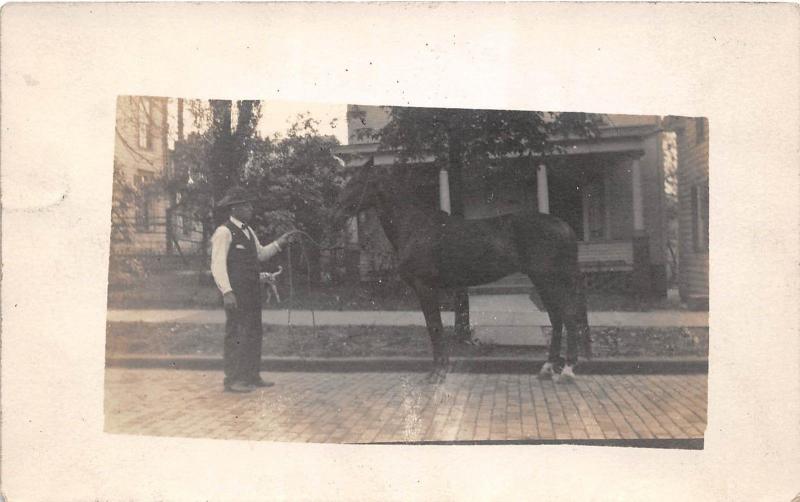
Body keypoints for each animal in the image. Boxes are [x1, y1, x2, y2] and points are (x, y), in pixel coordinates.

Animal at [334, 159, 592, 382]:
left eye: (357, 182)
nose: (335, 213)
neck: (416, 226)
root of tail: (564, 226)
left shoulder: (425, 287)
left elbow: (434, 327)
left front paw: (438, 372)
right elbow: (434, 327)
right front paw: (440, 369)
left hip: (549, 279)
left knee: (568, 316)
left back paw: (567, 370)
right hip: (543, 280)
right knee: (557, 318)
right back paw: (548, 368)